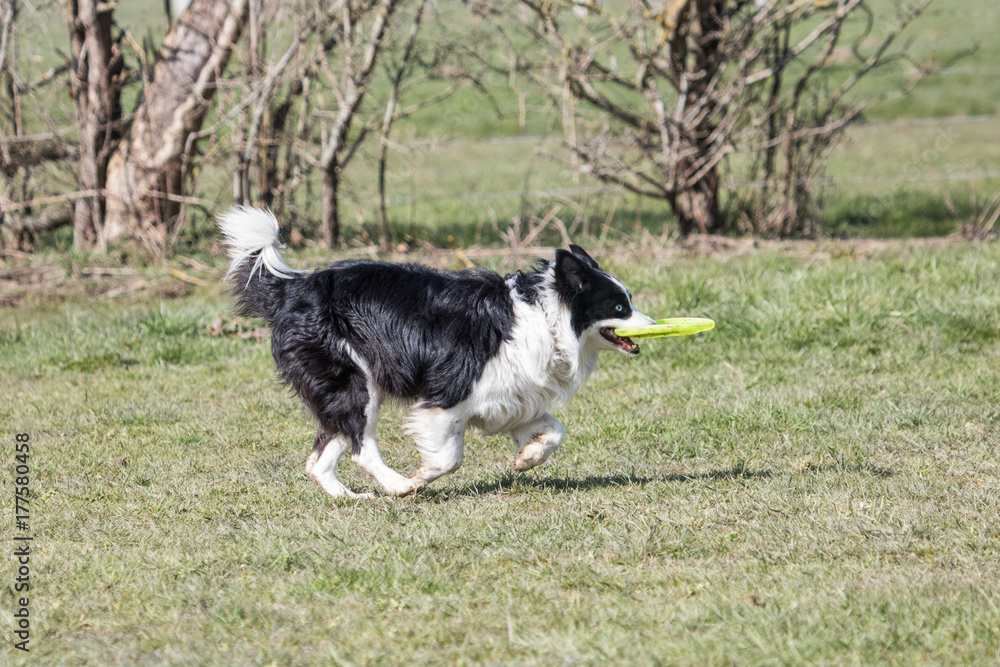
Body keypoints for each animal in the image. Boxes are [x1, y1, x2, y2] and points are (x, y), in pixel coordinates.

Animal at [221, 206, 656, 498]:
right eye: (620, 307)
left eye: (629, 301)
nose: (654, 324)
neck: (546, 317)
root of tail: (292, 290)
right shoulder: (446, 396)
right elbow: (449, 459)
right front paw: (418, 478)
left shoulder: (513, 398)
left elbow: (556, 430)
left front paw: (526, 458)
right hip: (355, 382)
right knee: (362, 447)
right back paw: (397, 486)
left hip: (339, 391)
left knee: (321, 457)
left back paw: (350, 498)